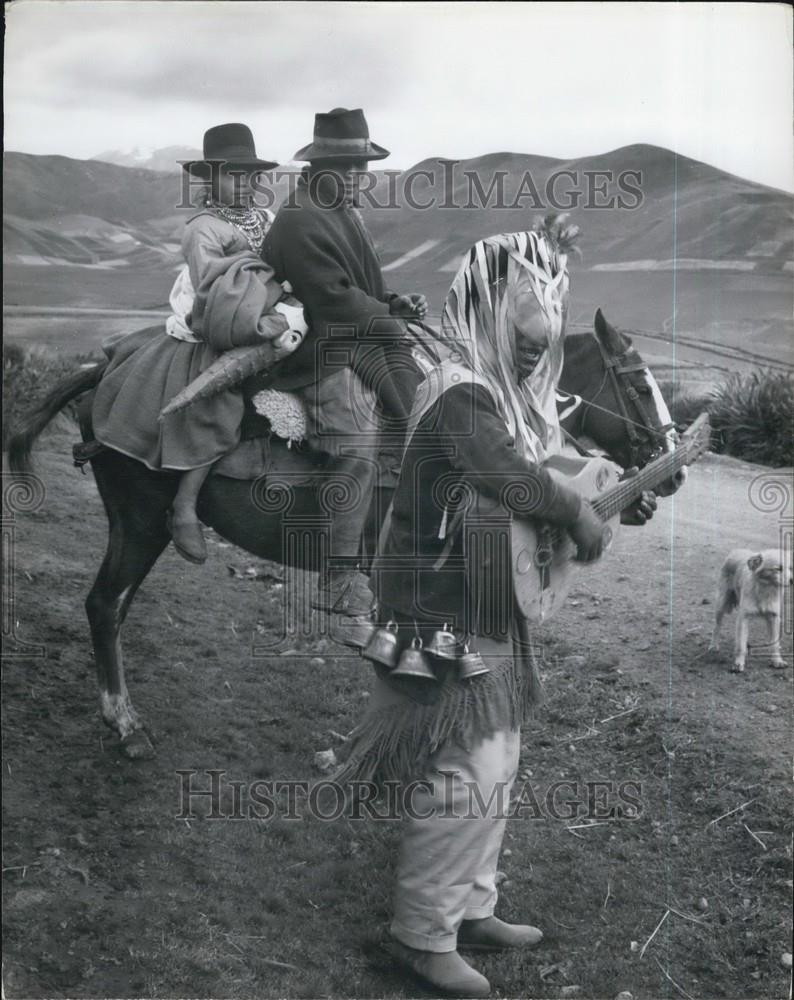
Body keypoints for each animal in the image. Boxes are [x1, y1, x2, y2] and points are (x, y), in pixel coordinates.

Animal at [6, 266, 676, 756]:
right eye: (639, 385)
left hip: (132, 524)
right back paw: (125, 724)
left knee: (110, 608)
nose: (670, 472)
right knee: (105, 606)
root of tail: (105, 369)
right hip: (140, 522)